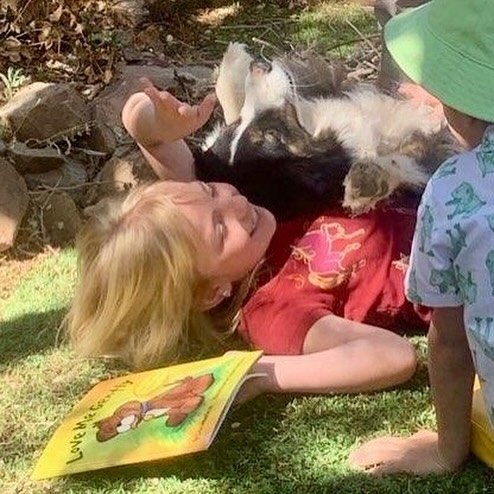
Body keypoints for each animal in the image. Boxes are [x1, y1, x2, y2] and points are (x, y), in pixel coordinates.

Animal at [193, 42, 460, 220]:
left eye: (237, 125)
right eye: (272, 135)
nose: (257, 65)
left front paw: (233, 57)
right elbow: (412, 161)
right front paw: (368, 180)